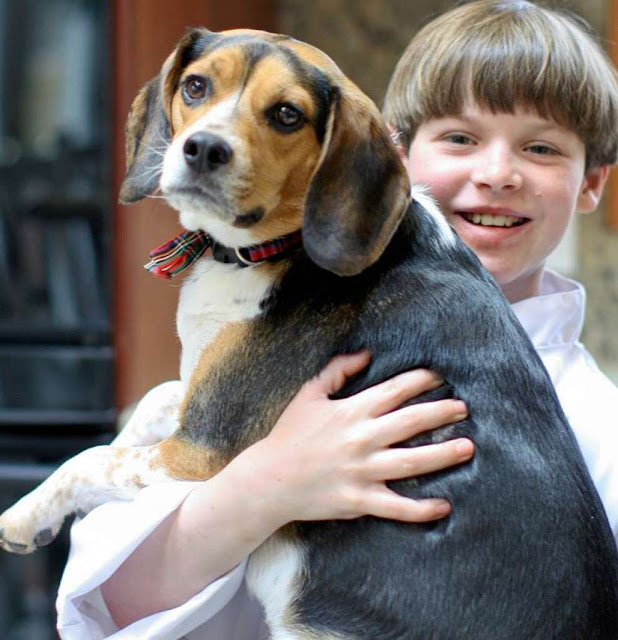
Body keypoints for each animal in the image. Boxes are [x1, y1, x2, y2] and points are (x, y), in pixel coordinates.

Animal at [1, 27, 616, 636]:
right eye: (196, 86)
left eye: (286, 114)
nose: (203, 148)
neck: (264, 249)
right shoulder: (202, 395)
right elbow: (152, 400)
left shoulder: (200, 456)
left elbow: (88, 459)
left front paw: (20, 517)